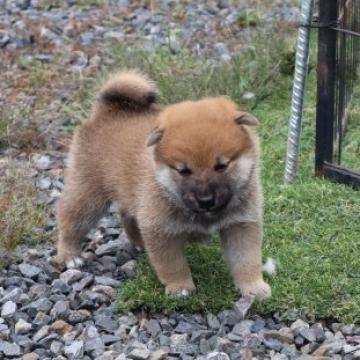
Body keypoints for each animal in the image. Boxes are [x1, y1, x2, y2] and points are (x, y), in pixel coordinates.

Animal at [55, 70, 270, 298]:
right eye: (183, 171)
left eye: (222, 166)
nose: (205, 200)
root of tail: (107, 110)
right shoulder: (161, 231)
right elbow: (173, 265)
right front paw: (180, 288)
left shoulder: (241, 225)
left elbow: (247, 260)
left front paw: (253, 287)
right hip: (89, 195)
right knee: (70, 219)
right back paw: (70, 255)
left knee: (127, 216)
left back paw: (139, 243)